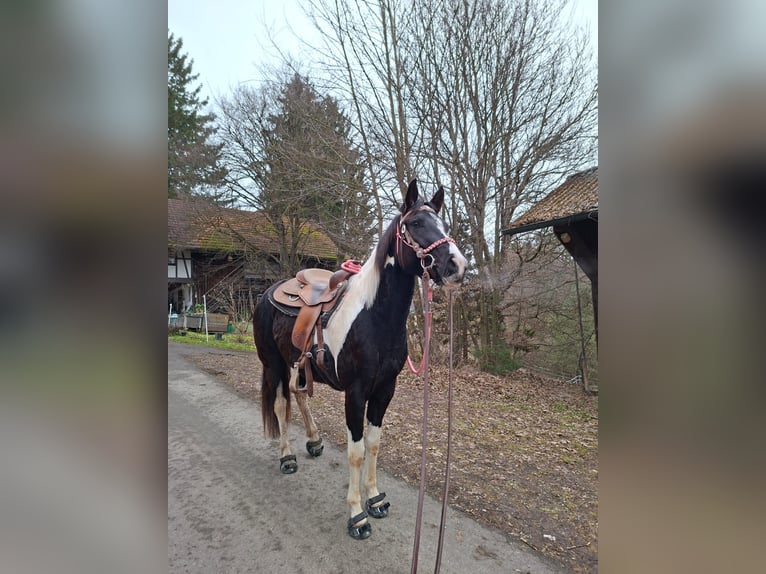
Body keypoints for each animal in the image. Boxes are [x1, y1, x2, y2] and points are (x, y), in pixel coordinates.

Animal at [253, 179, 467, 539]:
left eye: (443, 224)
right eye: (415, 223)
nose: (457, 266)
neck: (374, 318)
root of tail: (270, 292)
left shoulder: (384, 390)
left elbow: (374, 444)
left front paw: (375, 499)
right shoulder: (355, 393)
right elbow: (356, 451)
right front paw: (356, 514)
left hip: (298, 366)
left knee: (300, 397)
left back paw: (314, 441)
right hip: (274, 365)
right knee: (282, 406)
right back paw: (287, 457)